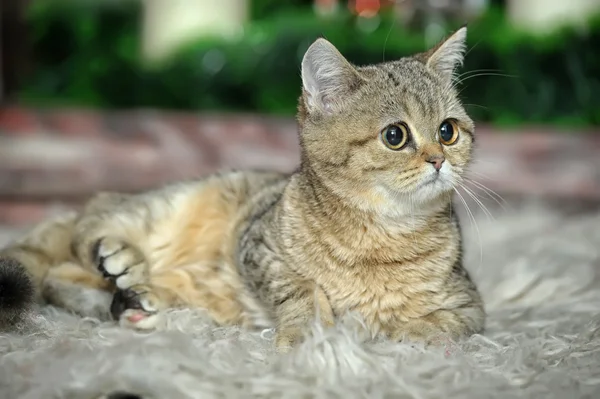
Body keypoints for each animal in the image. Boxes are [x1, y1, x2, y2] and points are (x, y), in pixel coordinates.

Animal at [0, 26, 482, 352]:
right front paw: (309, 335)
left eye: (448, 130)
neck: (380, 238)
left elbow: (440, 325)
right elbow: (302, 290)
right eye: (395, 136)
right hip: (160, 205)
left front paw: (390, 330)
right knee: (92, 219)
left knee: (64, 277)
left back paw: (135, 302)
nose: (438, 160)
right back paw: (118, 257)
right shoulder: (258, 249)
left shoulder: (470, 309)